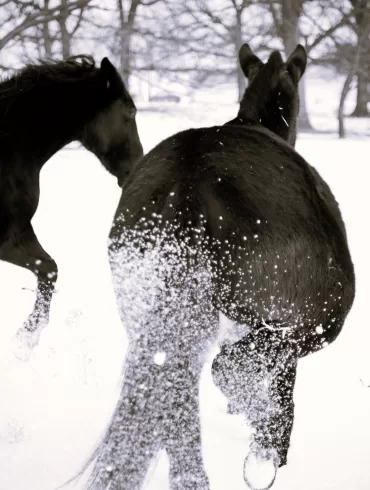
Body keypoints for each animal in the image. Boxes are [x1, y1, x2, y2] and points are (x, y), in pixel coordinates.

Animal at [0, 55, 142, 350]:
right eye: (132, 111)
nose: (138, 167)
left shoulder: (20, 232)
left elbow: (50, 269)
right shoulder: (9, 236)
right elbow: (49, 269)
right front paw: (26, 337)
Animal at [74, 44, 352, 490]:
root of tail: (190, 182)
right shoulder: (289, 330)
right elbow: (281, 391)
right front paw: (272, 451)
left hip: (155, 321)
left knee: (175, 408)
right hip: (296, 324)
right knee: (227, 370)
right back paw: (260, 446)